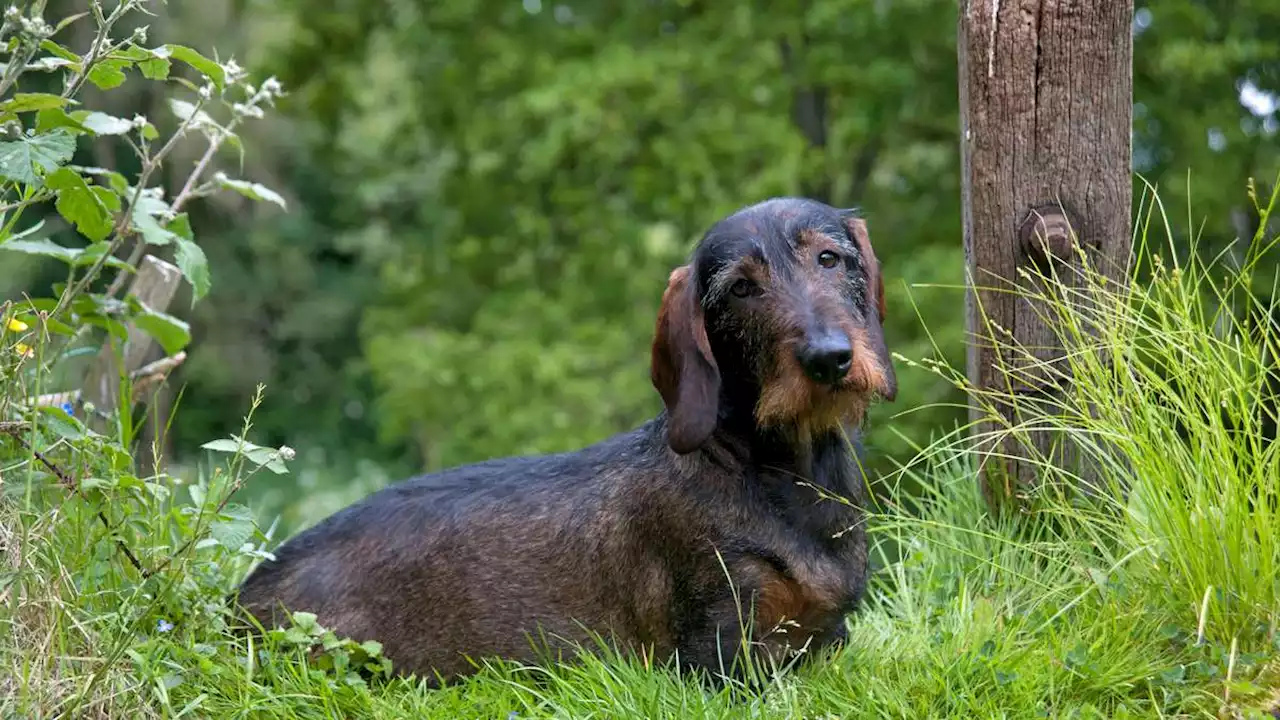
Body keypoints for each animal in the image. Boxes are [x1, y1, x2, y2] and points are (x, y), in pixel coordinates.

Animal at [235, 196, 896, 681]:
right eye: (740, 288)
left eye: (830, 259)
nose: (829, 358)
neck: (779, 471)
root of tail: (235, 604)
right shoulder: (722, 655)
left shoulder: (829, 638)